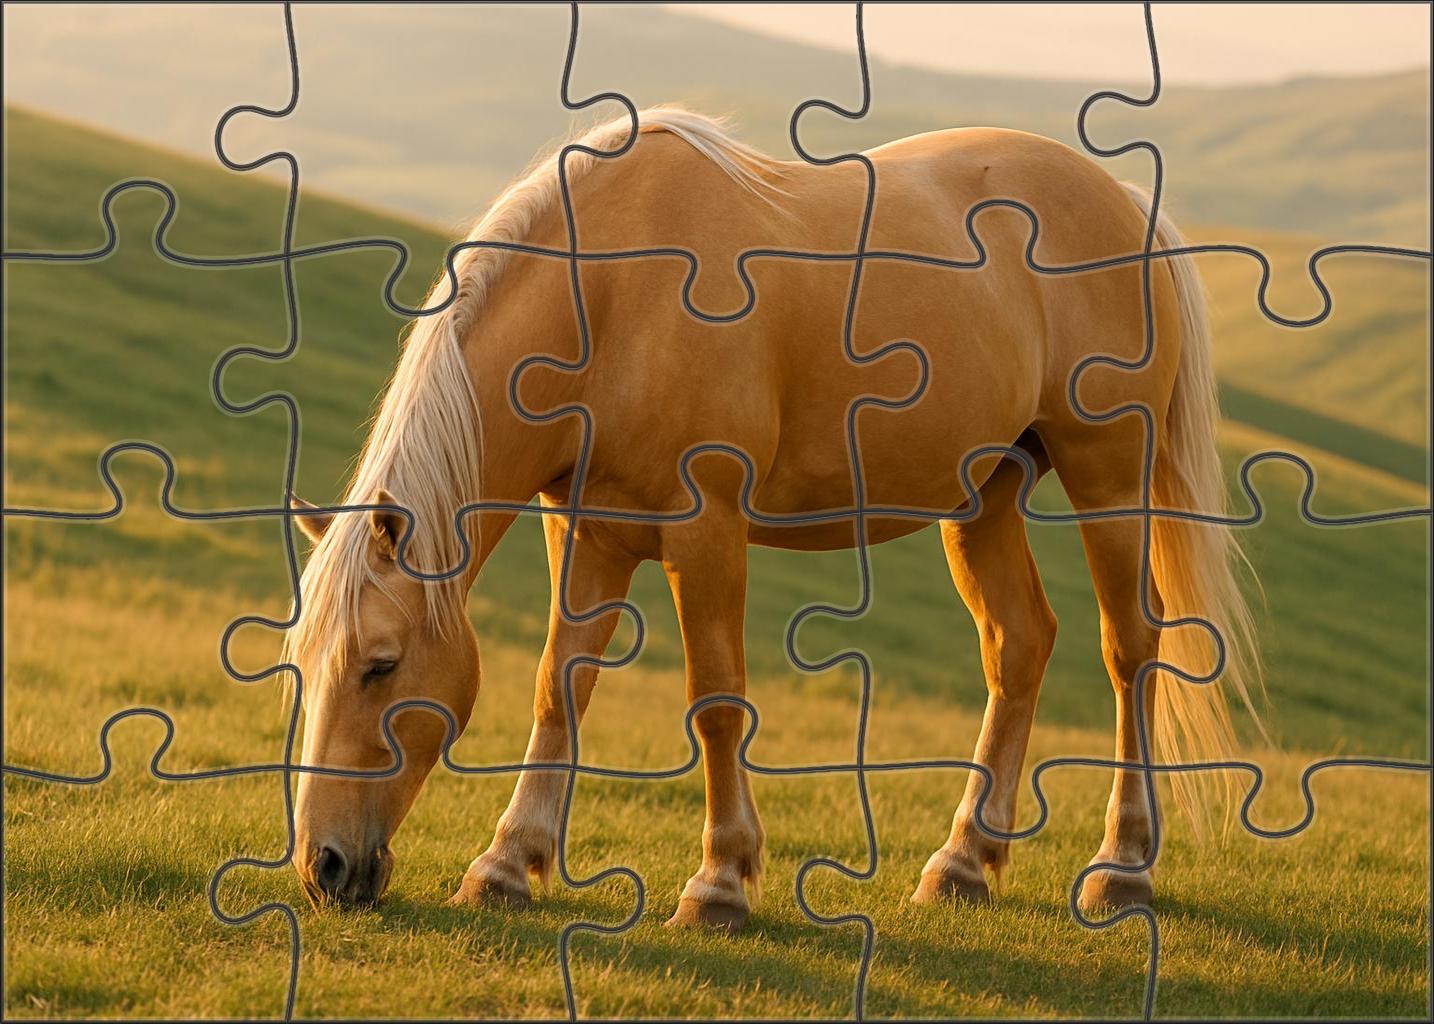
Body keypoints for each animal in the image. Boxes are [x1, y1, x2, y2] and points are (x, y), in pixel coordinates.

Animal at [286, 106, 1258, 930]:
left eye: (380, 665)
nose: (322, 867)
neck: (614, 295)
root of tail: (1124, 200)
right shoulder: (588, 534)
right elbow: (559, 687)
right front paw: (507, 864)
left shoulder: (706, 531)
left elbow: (716, 702)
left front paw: (719, 882)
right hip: (987, 493)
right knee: (1019, 646)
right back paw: (963, 862)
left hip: (1109, 478)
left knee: (1131, 649)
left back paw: (1122, 866)